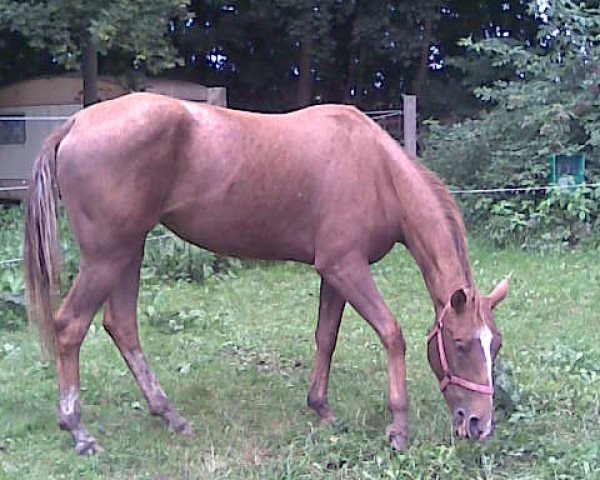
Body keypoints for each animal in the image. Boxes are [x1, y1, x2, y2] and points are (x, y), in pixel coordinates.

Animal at [25, 93, 508, 454]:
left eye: (495, 344)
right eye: (460, 343)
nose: (480, 424)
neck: (377, 171)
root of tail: (75, 123)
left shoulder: (334, 273)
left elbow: (326, 337)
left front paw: (321, 408)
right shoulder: (346, 267)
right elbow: (392, 334)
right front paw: (398, 429)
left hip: (129, 250)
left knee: (121, 325)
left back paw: (170, 415)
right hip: (107, 257)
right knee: (70, 326)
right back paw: (78, 430)